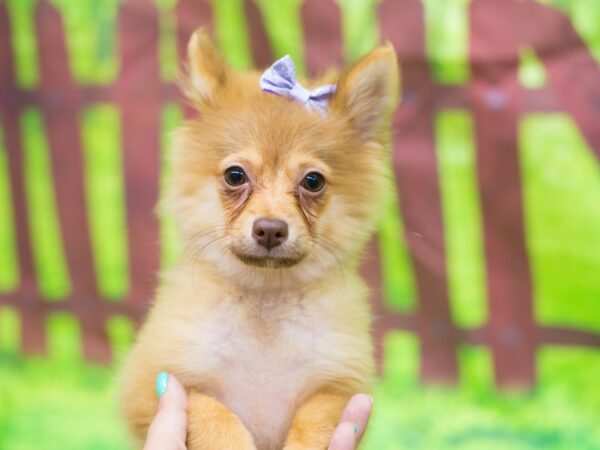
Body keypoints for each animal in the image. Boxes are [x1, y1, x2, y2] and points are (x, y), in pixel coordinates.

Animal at [118, 29, 398, 450]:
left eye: (313, 181)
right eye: (235, 175)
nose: (270, 228)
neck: (265, 306)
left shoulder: (340, 386)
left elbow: (315, 420)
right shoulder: (154, 381)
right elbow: (213, 416)